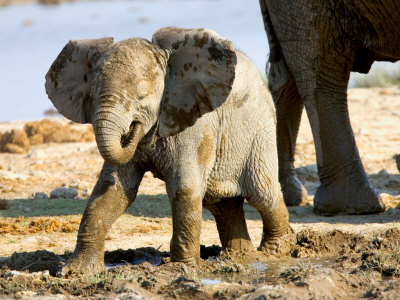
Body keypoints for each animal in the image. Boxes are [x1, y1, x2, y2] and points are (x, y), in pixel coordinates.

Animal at [46, 27, 294, 274]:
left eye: (142, 97)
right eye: (93, 95)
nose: (131, 130)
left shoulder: (194, 123)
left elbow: (184, 187)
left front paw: (181, 269)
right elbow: (112, 189)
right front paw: (76, 271)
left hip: (260, 131)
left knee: (262, 193)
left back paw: (275, 251)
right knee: (222, 204)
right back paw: (241, 256)